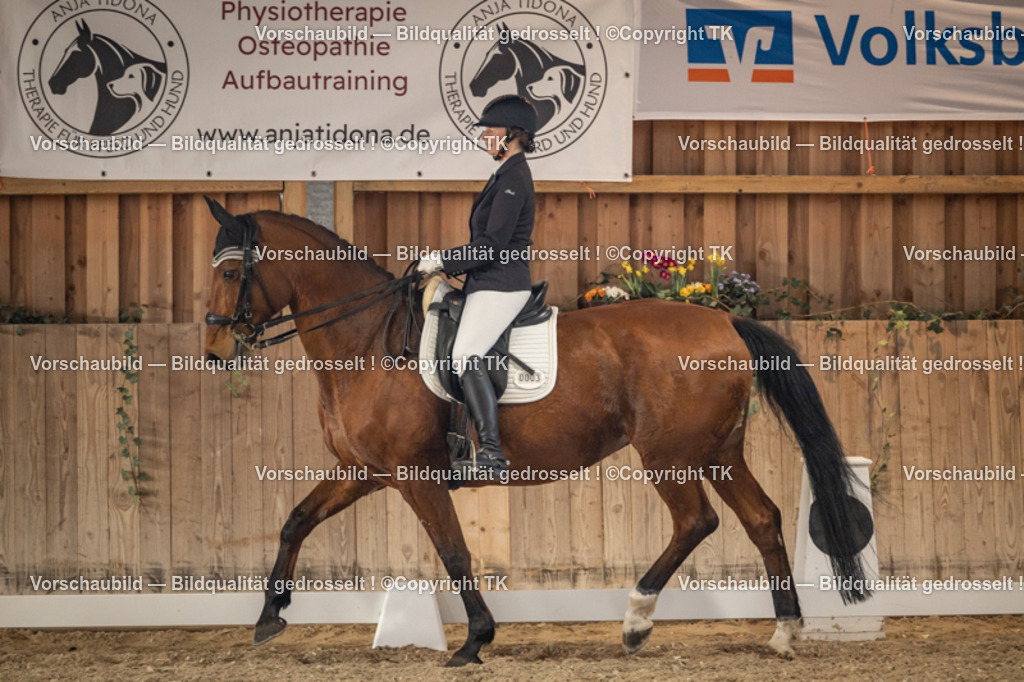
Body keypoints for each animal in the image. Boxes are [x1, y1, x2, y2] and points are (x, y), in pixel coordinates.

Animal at [202, 199, 871, 667]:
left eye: (232, 274)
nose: (210, 350)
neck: (368, 341)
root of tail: (726, 321)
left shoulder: (415, 476)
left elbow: (454, 553)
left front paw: (474, 641)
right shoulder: (363, 471)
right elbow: (296, 521)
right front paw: (269, 617)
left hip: (670, 455)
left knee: (696, 522)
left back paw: (637, 620)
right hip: (717, 452)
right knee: (761, 519)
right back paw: (784, 632)